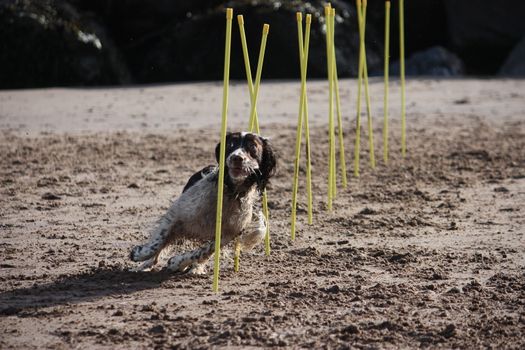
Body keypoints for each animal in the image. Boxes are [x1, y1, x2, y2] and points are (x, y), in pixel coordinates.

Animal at [129, 131, 276, 274]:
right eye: (231, 144)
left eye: (253, 146)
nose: (236, 158)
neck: (231, 192)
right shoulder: (177, 214)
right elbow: (158, 241)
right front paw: (140, 254)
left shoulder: (226, 235)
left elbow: (203, 252)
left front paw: (178, 262)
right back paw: (145, 265)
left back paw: (195, 268)